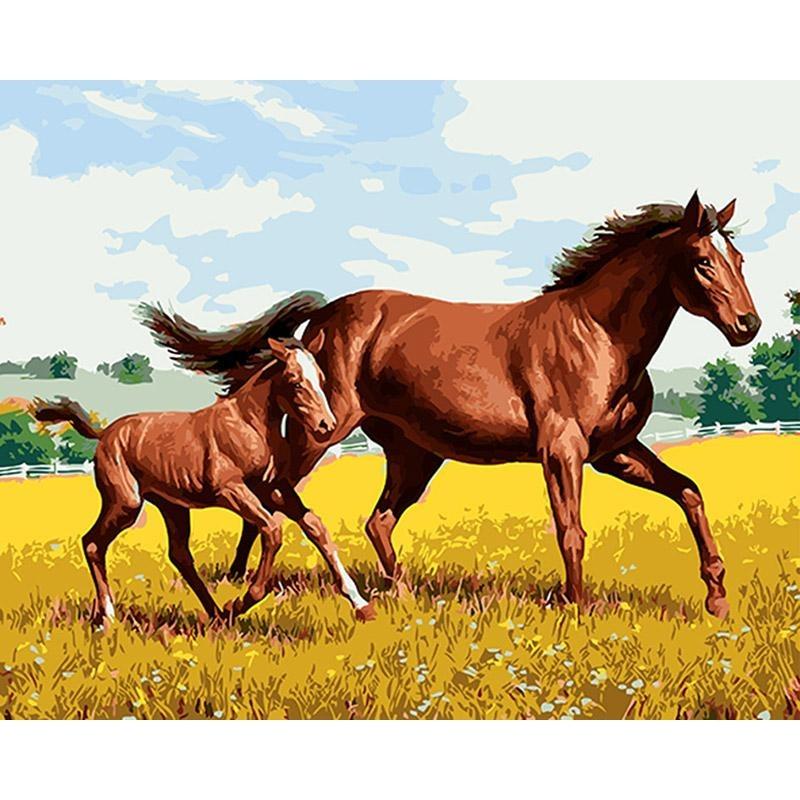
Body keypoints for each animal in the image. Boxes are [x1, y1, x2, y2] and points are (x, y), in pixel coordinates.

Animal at [32, 331, 377, 626]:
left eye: (321, 377)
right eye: (294, 380)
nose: (326, 425)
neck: (249, 424)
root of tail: (104, 434)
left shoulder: (273, 488)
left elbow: (314, 526)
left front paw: (361, 604)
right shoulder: (231, 490)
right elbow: (272, 530)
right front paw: (243, 601)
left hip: (172, 506)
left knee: (180, 555)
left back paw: (215, 614)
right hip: (126, 502)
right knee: (92, 543)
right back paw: (108, 616)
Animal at [142, 192, 761, 619]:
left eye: (739, 258)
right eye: (703, 261)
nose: (748, 326)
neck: (598, 336)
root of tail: (323, 317)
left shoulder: (616, 452)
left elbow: (688, 492)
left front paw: (717, 596)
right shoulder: (563, 451)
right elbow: (572, 529)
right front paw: (578, 608)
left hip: (414, 454)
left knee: (377, 520)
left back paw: (401, 594)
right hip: (324, 430)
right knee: (278, 492)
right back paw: (240, 584)